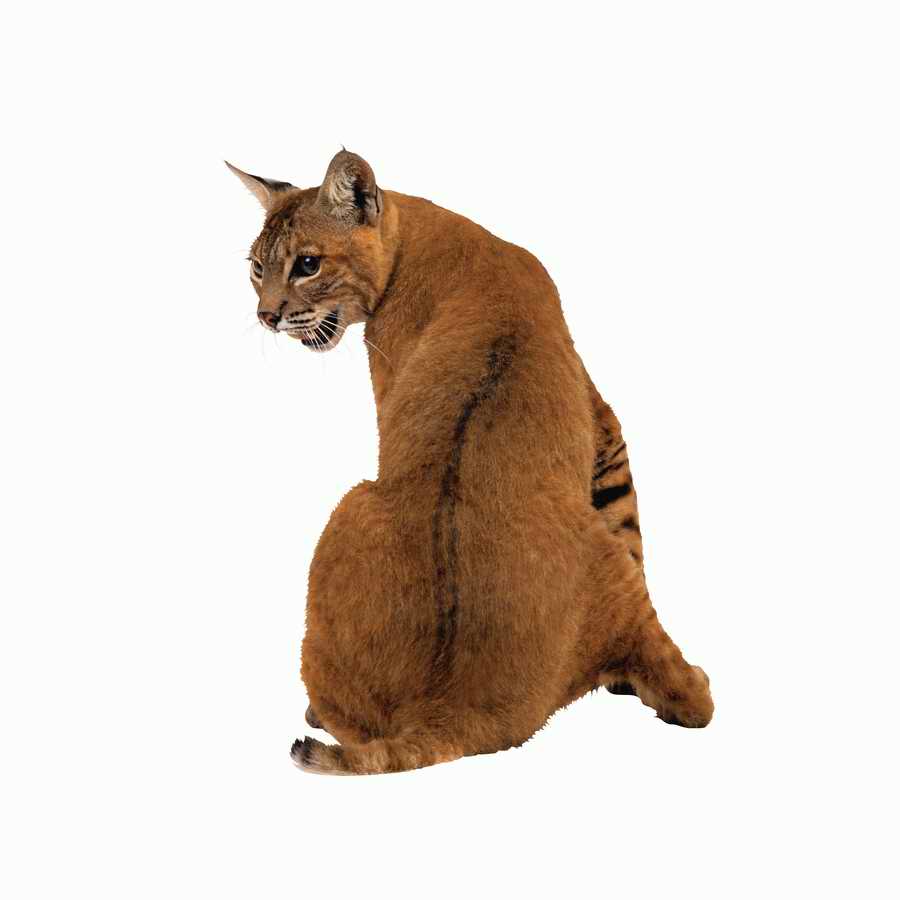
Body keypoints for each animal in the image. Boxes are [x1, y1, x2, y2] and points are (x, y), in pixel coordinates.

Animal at [227, 150, 713, 775]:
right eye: (256, 268)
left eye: (307, 265)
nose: (266, 316)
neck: (414, 229)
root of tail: (451, 709)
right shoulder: (603, 420)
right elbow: (626, 516)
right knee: (696, 699)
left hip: (349, 501)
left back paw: (317, 714)